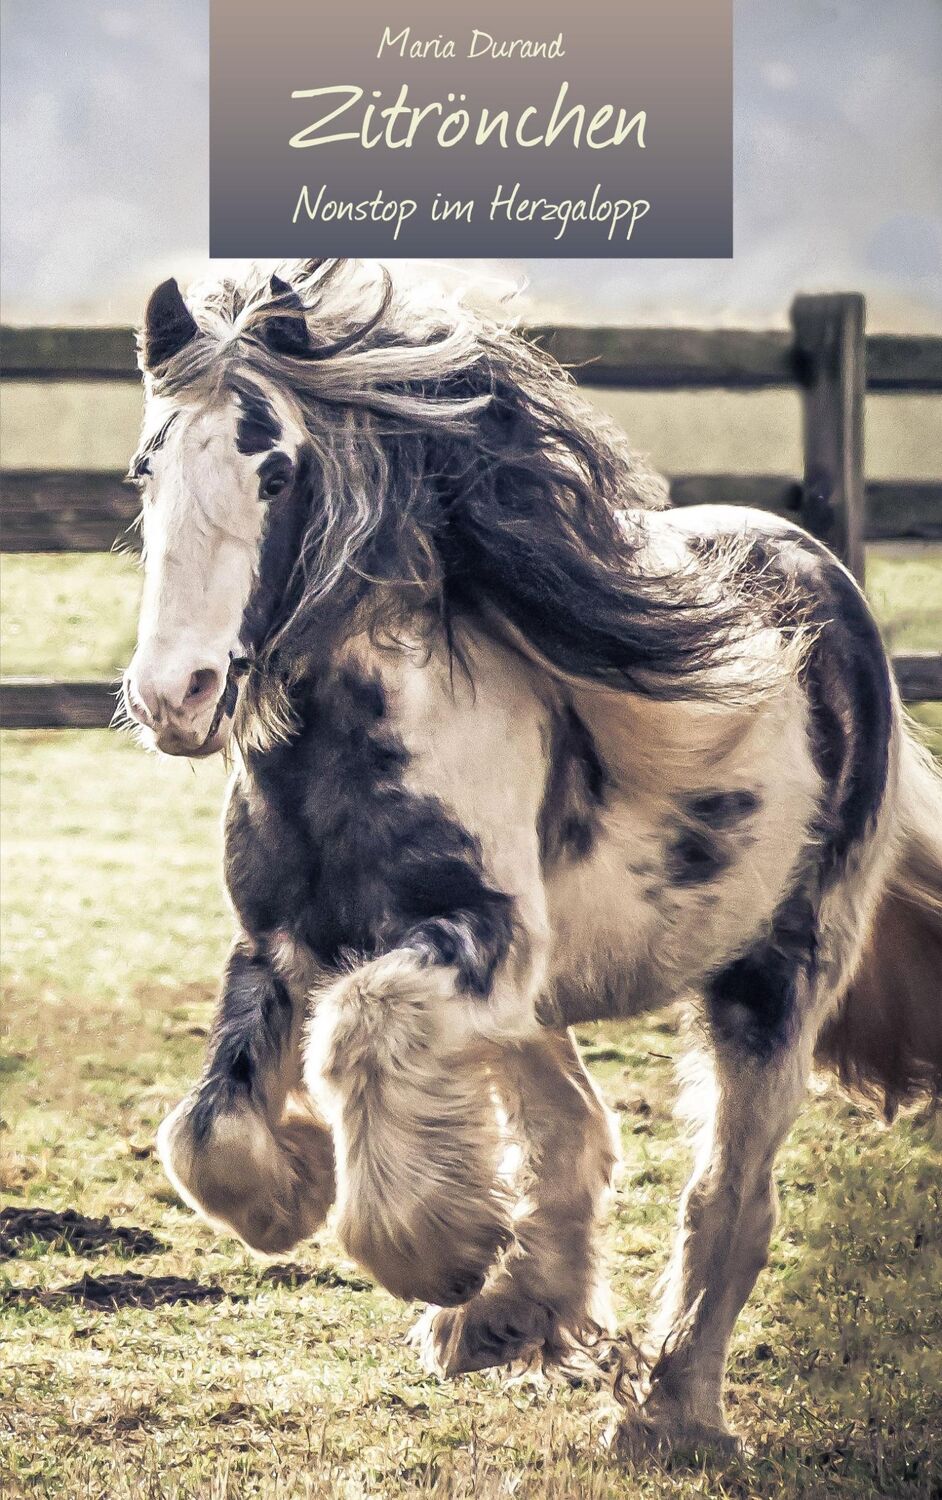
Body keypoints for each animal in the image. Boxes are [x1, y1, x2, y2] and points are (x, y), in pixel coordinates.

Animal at [119, 261, 942, 1452]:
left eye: (273, 469)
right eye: (147, 466)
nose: (172, 696)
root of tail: (833, 596)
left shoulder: (479, 932)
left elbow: (360, 1024)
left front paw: (437, 1254)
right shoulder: (278, 942)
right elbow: (208, 1132)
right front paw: (302, 1193)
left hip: (776, 970)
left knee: (730, 1190)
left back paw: (669, 1414)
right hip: (538, 1001)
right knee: (578, 1128)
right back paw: (516, 1315)